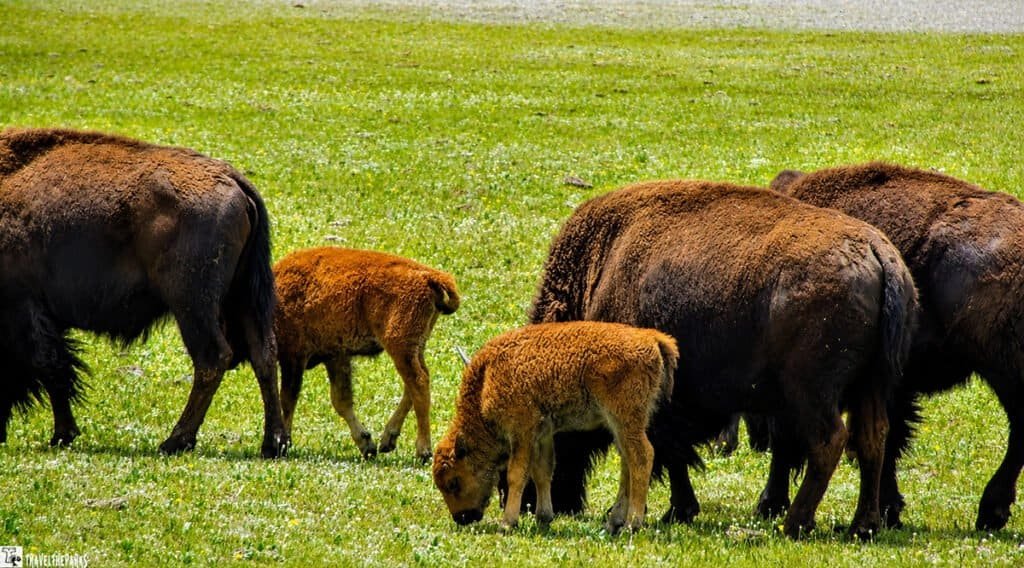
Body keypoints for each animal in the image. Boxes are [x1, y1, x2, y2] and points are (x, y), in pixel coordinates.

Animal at [0, 127, 288, 457]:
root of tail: (234, 180)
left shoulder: (23, 307)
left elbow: (51, 366)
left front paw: (62, 434)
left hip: (192, 304)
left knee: (213, 357)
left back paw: (175, 441)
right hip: (243, 297)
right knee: (263, 354)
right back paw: (273, 443)